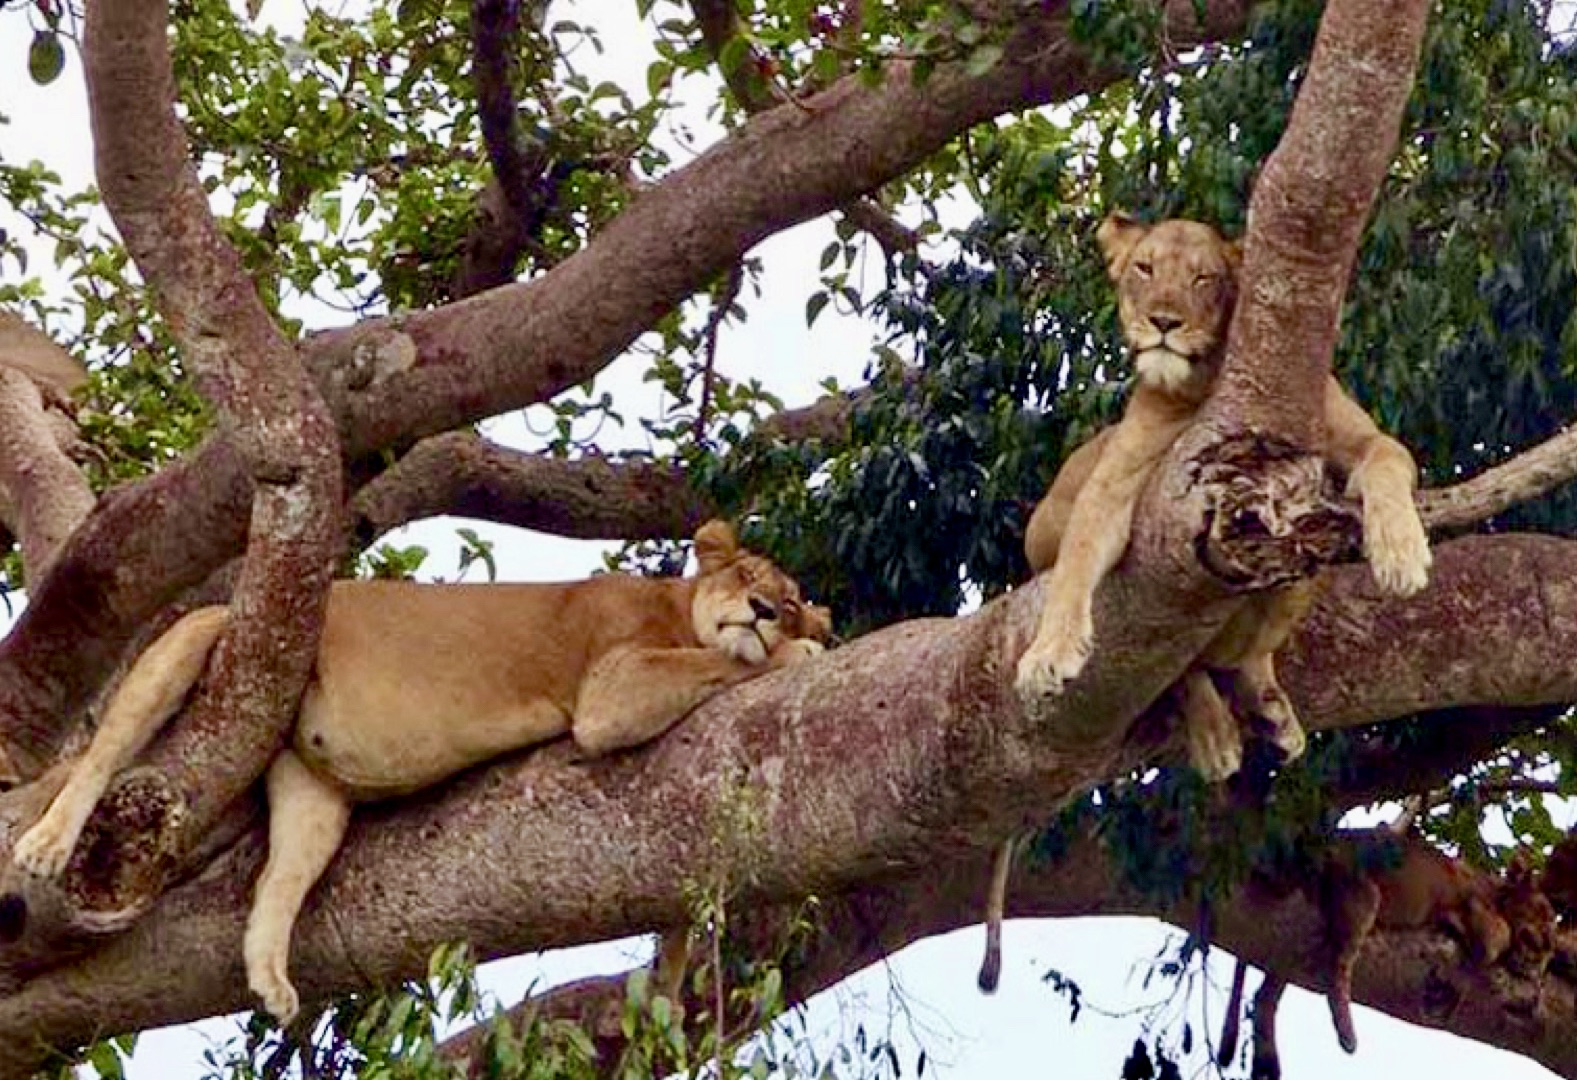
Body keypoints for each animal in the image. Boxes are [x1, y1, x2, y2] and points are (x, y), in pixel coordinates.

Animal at [12, 519, 831, 1023]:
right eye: (749, 577)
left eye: (790, 601)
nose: (765, 611)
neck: (675, 604)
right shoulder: (611, 689)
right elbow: (723, 661)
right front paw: (799, 653)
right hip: (206, 633)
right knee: (104, 752)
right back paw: (48, 843)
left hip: (313, 795)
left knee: (276, 884)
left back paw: (272, 978)